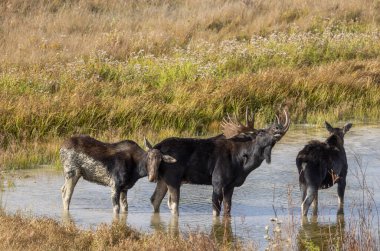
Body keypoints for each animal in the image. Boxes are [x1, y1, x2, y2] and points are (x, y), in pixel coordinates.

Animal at [147, 109, 290, 217]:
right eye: (261, 132)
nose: (278, 127)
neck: (243, 164)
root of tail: (157, 147)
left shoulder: (230, 185)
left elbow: (227, 210)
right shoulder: (217, 182)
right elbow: (216, 211)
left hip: (163, 179)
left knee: (155, 200)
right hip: (173, 178)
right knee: (173, 205)